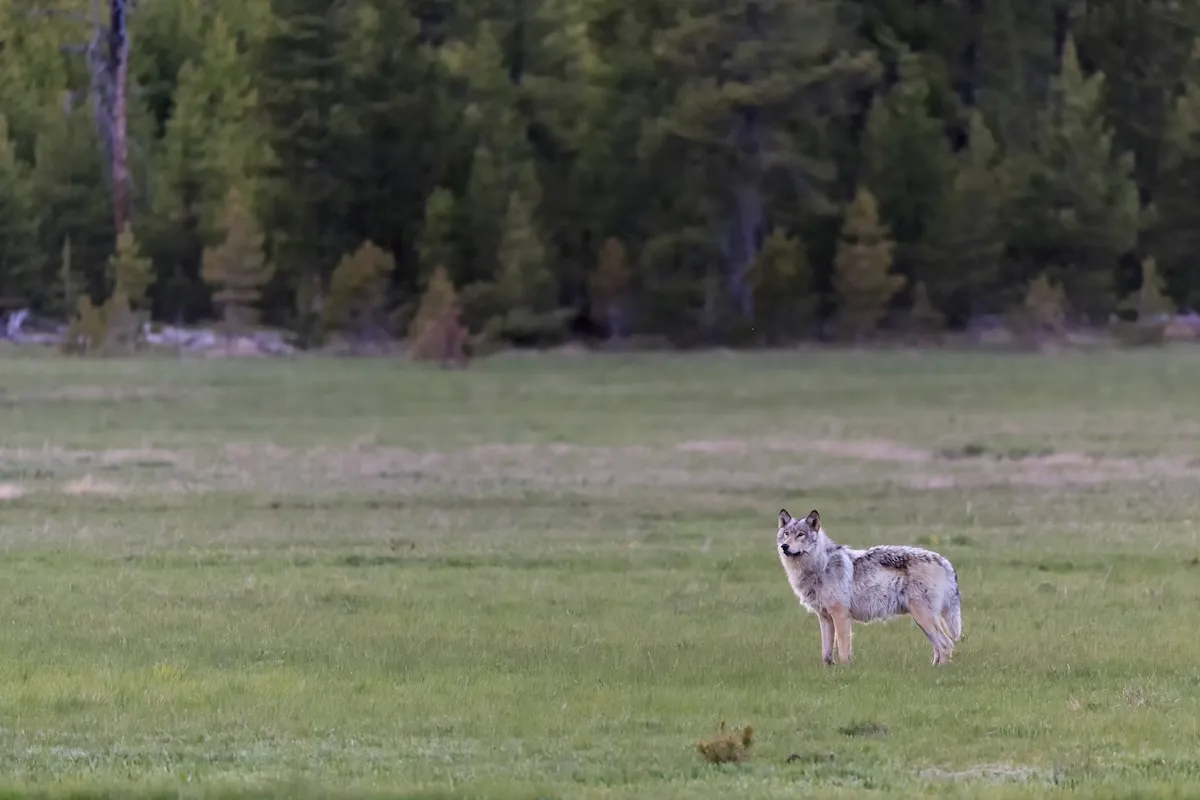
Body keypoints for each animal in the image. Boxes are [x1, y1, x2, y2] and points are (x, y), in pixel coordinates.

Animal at [776, 509, 963, 666]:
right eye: (786, 534)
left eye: (801, 535)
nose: (784, 546)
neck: (820, 565)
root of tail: (944, 561)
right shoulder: (824, 617)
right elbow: (826, 654)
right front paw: (829, 672)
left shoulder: (840, 615)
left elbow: (843, 649)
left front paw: (844, 671)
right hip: (922, 620)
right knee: (939, 646)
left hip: (923, 617)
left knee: (945, 644)